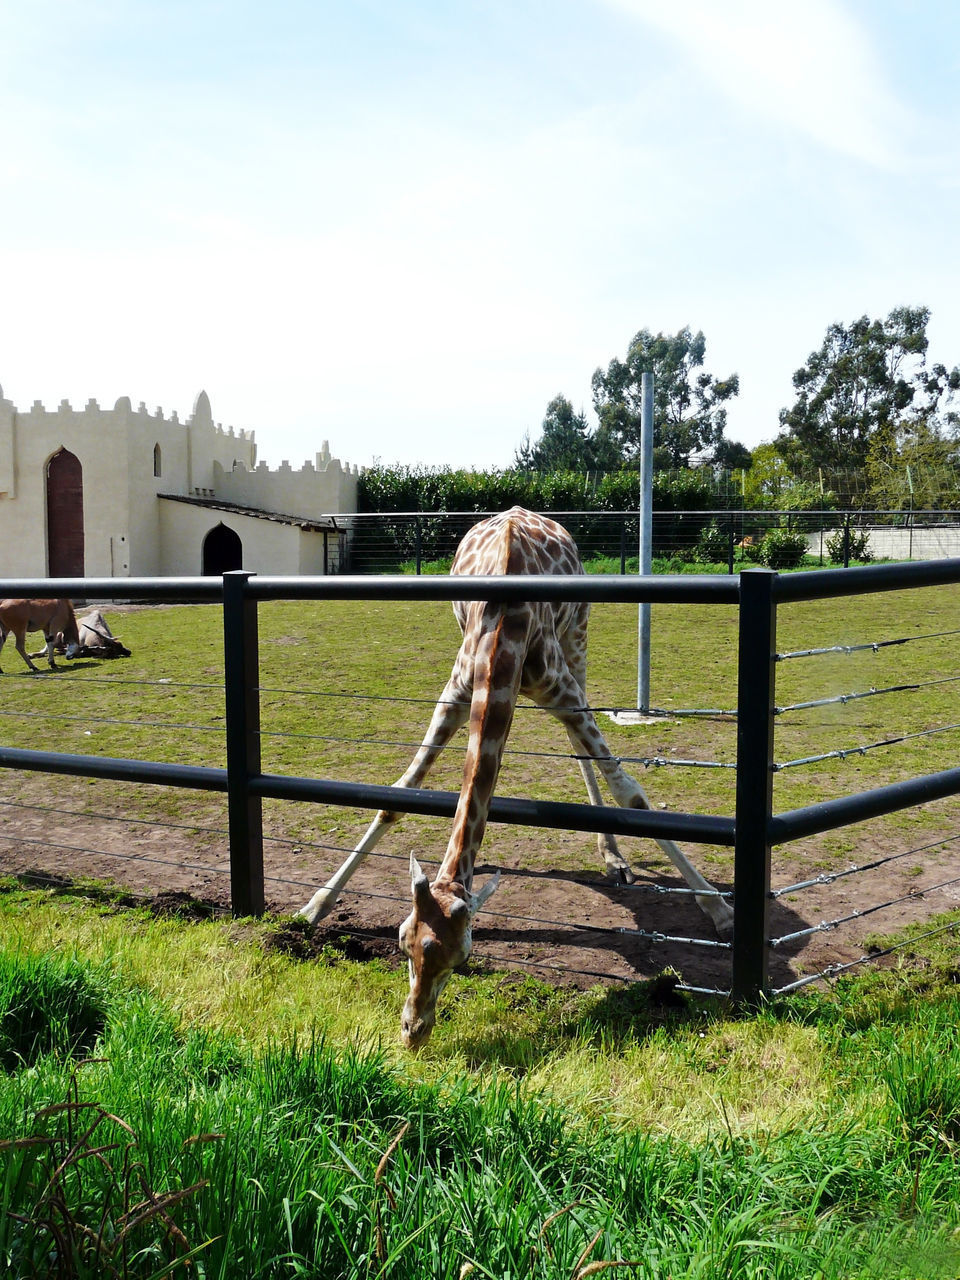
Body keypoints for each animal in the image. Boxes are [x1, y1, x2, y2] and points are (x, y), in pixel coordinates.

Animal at [300, 504, 737, 1044]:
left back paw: (614, 859)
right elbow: (400, 793)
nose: (413, 1030)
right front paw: (313, 907)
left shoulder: (560, 686)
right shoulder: (456, 692)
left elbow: (629, 792)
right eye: (402, 940)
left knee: (582, 747)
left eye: (463, 958)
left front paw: (721, 912)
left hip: (578, 638)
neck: (504, 630)